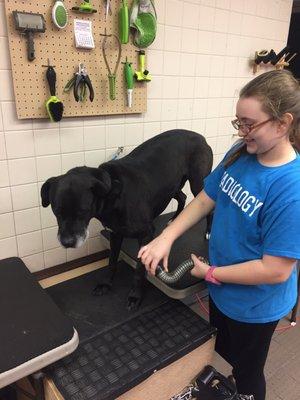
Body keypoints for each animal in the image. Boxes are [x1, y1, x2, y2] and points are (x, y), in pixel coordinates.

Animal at [41, 130, 213, 310]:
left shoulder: (146, 236)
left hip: (199, 184)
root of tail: (200, 137)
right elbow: (111, 261)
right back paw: (174, 220)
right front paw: (106, 284)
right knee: (182, 197)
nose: (67, 242)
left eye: (83, 211)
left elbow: (138, 270)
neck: (113, 193)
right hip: (172, 185)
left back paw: (208, 231)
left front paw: (135, 296)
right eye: (56, 211)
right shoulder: (115, 234)